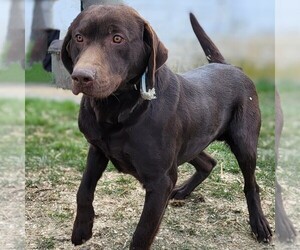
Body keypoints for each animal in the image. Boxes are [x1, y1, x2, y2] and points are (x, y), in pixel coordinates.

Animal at [61, 4, 272, 249]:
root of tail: (228, 66)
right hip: (190, 143)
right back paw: (183, 191)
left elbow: (143, 233)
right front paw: (82, 228)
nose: (81, 77)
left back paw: (259, 224)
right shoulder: (97, 149)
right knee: (208, 162)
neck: (119, 109)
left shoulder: (161, 182)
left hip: (243, 143)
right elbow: (83, 189)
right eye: (79, 37)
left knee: (251, 184)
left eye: (117, 38)